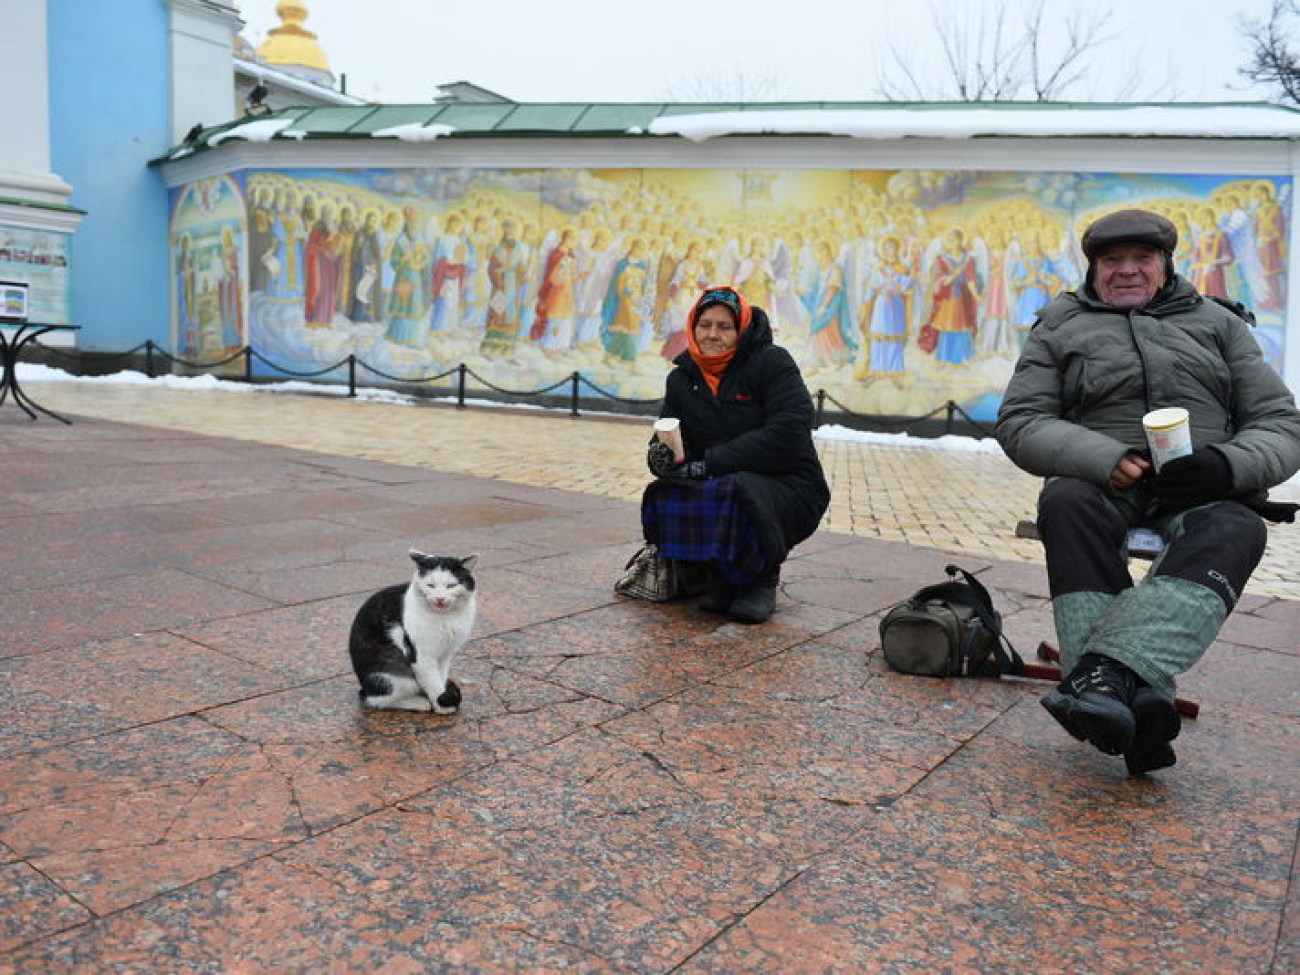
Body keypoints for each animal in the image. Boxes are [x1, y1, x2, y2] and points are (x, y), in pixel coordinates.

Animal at [348, 553, 480, 712]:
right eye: (430, 585)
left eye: (451, 585)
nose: (440, 599)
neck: (445, 617)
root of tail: (364, 687)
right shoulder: (422, 656)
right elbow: (434, 683)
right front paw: (441, 706)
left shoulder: (445, 655)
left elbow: (440, 678)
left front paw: (443, 698)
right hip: (394, 677)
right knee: (375, 700)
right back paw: (419, 703)